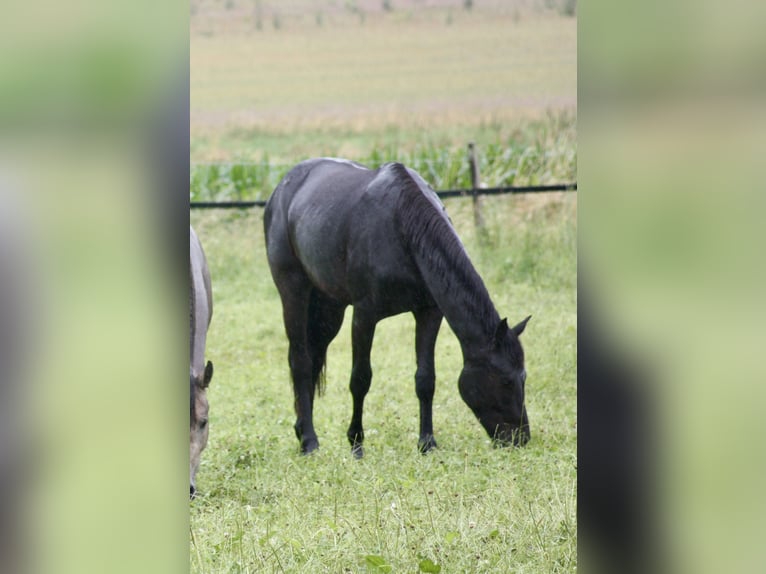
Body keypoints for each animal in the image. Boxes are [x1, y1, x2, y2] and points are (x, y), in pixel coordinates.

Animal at [262, 158, 528, 460]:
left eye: (523, 377)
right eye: (505, 381)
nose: (521, 438)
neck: (403, 228)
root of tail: (280, 191)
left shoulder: (428, 313)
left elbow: (425, 379)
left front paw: (427, 443)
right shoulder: (364, 316)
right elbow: (360, 379)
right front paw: (356, 444)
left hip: (329, 308)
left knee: (314, 357)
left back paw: (301, 429)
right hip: (293, 290)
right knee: (301, 361)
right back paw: (309, 442)